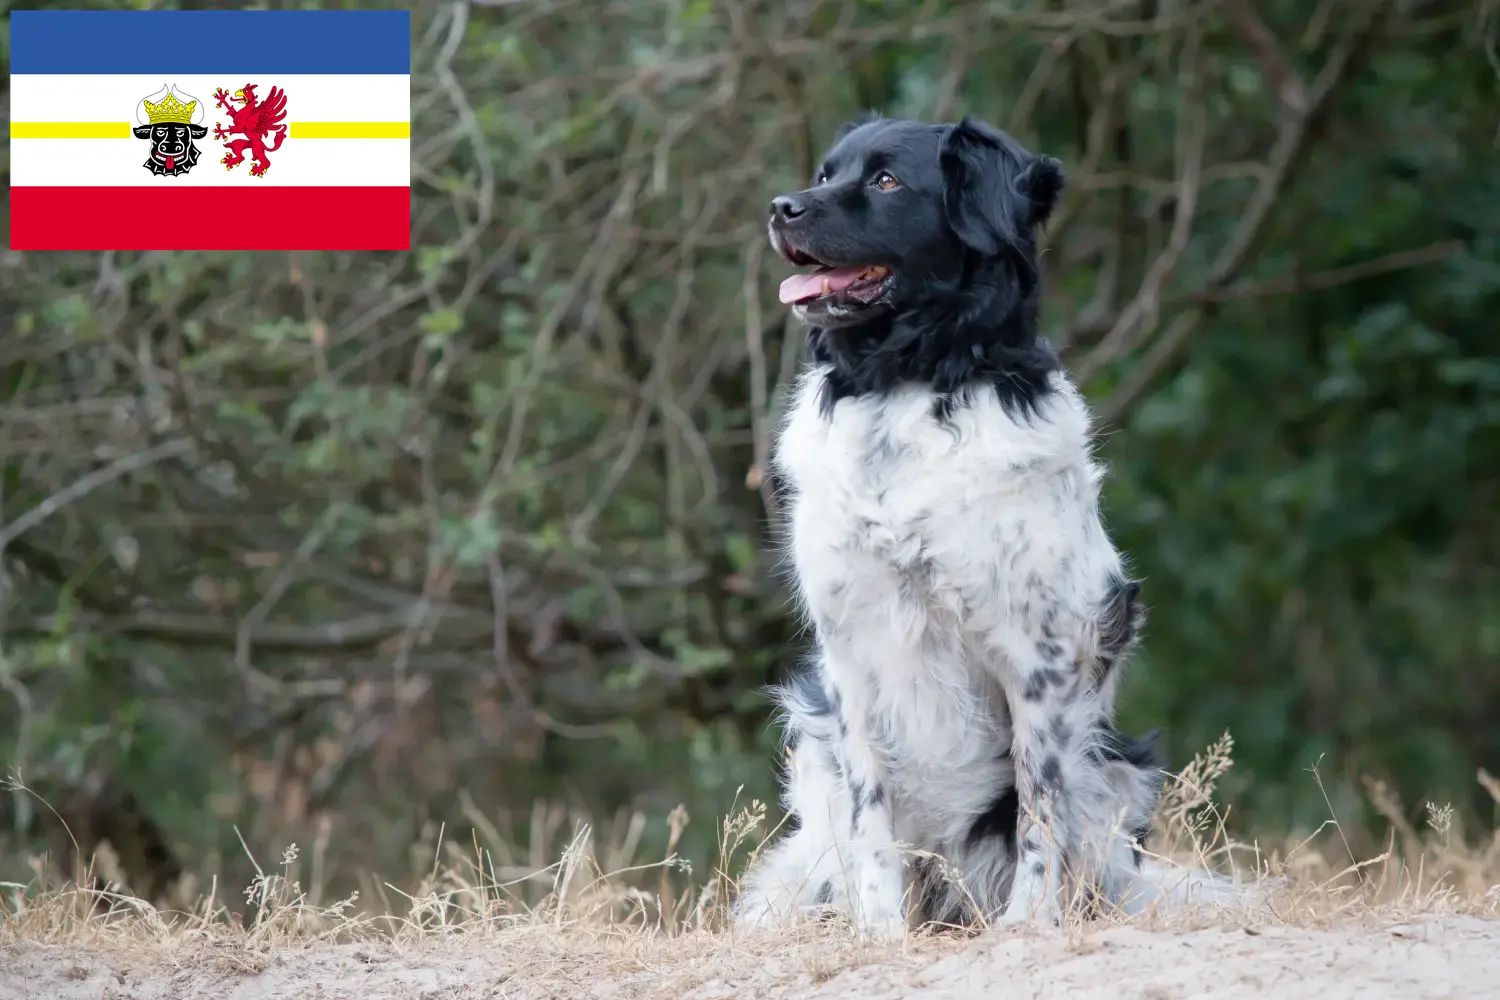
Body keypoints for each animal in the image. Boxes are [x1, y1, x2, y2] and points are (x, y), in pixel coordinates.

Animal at [735, 117, 1242, 941]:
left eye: (886, 181)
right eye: (827, 172)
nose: (782, 207)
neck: (905, 385)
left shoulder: (1041, 659)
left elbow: (1041, 810)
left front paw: (1027, 927)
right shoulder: (849, 660)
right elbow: (870, 816)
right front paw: (879, 933)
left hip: (1118, 766)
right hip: (814, 748)